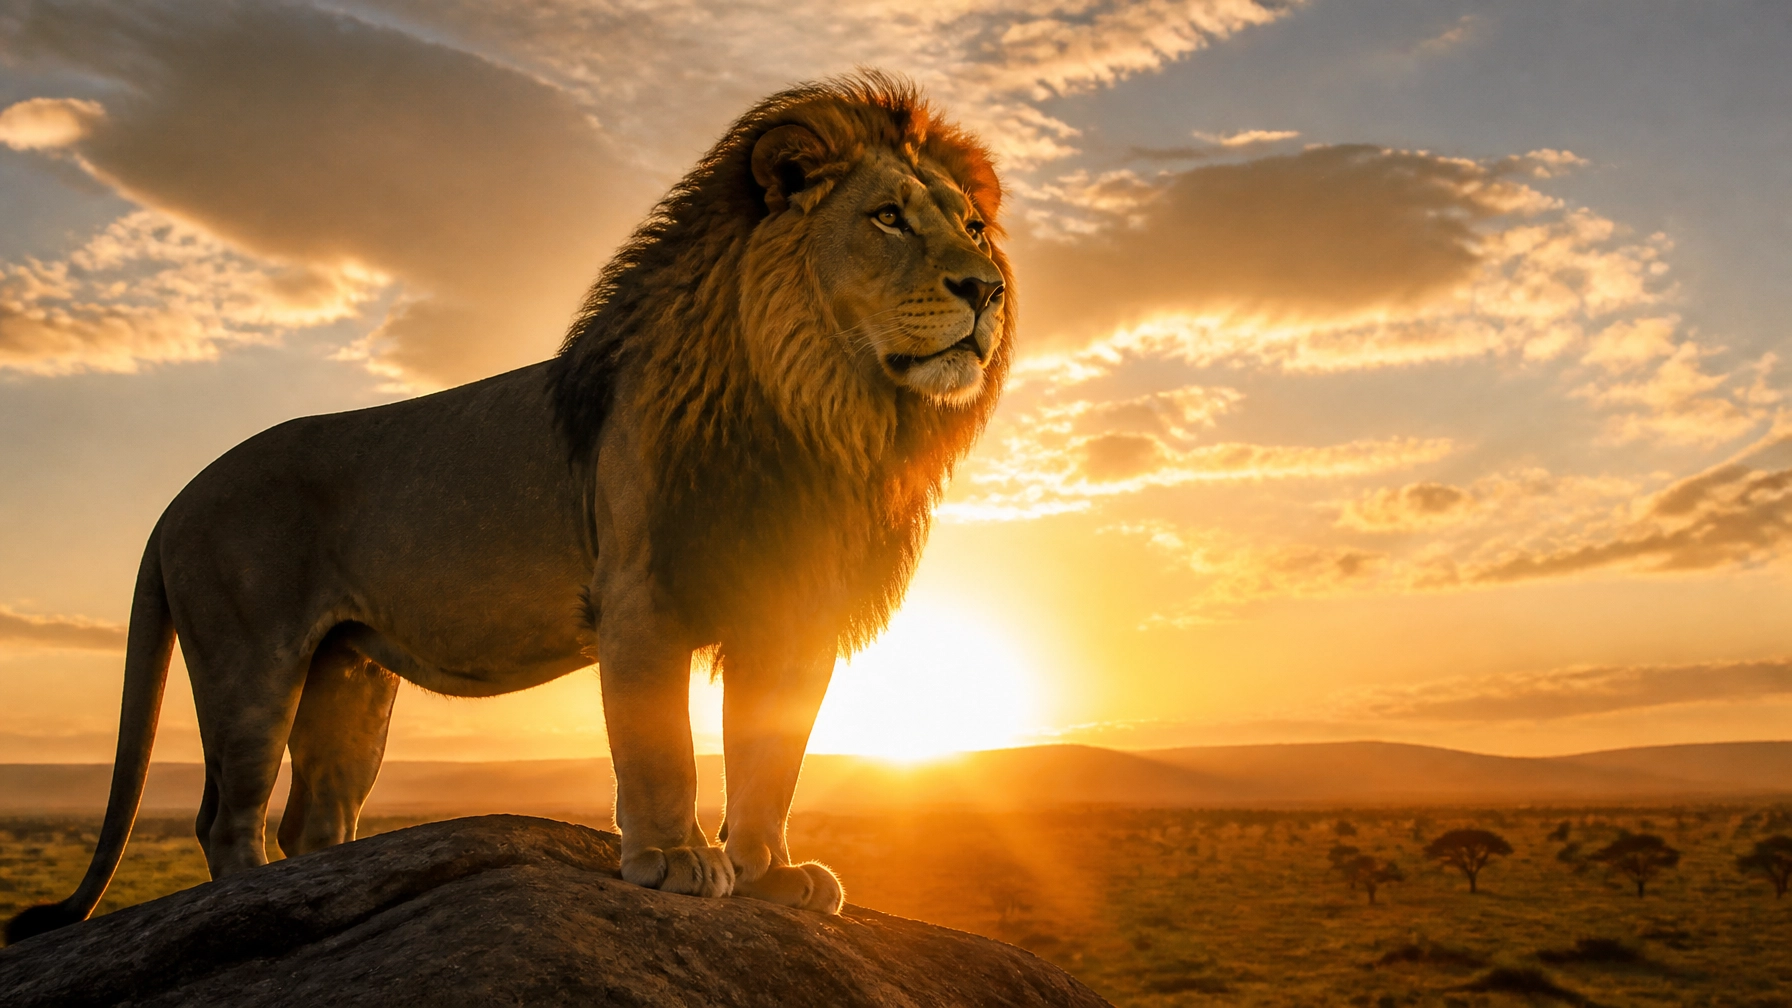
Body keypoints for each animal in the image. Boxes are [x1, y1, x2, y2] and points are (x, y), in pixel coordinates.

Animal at [4, 72, 1011, 945]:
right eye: (887, 217)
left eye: (972, 226)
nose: (988, 288)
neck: (828, 416)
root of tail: (177, 497)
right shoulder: (643, 594)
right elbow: (664, 747)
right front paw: (676, 863)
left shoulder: (796, 616)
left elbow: (774, 759)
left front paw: (770, 876)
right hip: (251, 661)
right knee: (228, 817)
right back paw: (256, 905)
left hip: (349, 680)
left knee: (311, 822)